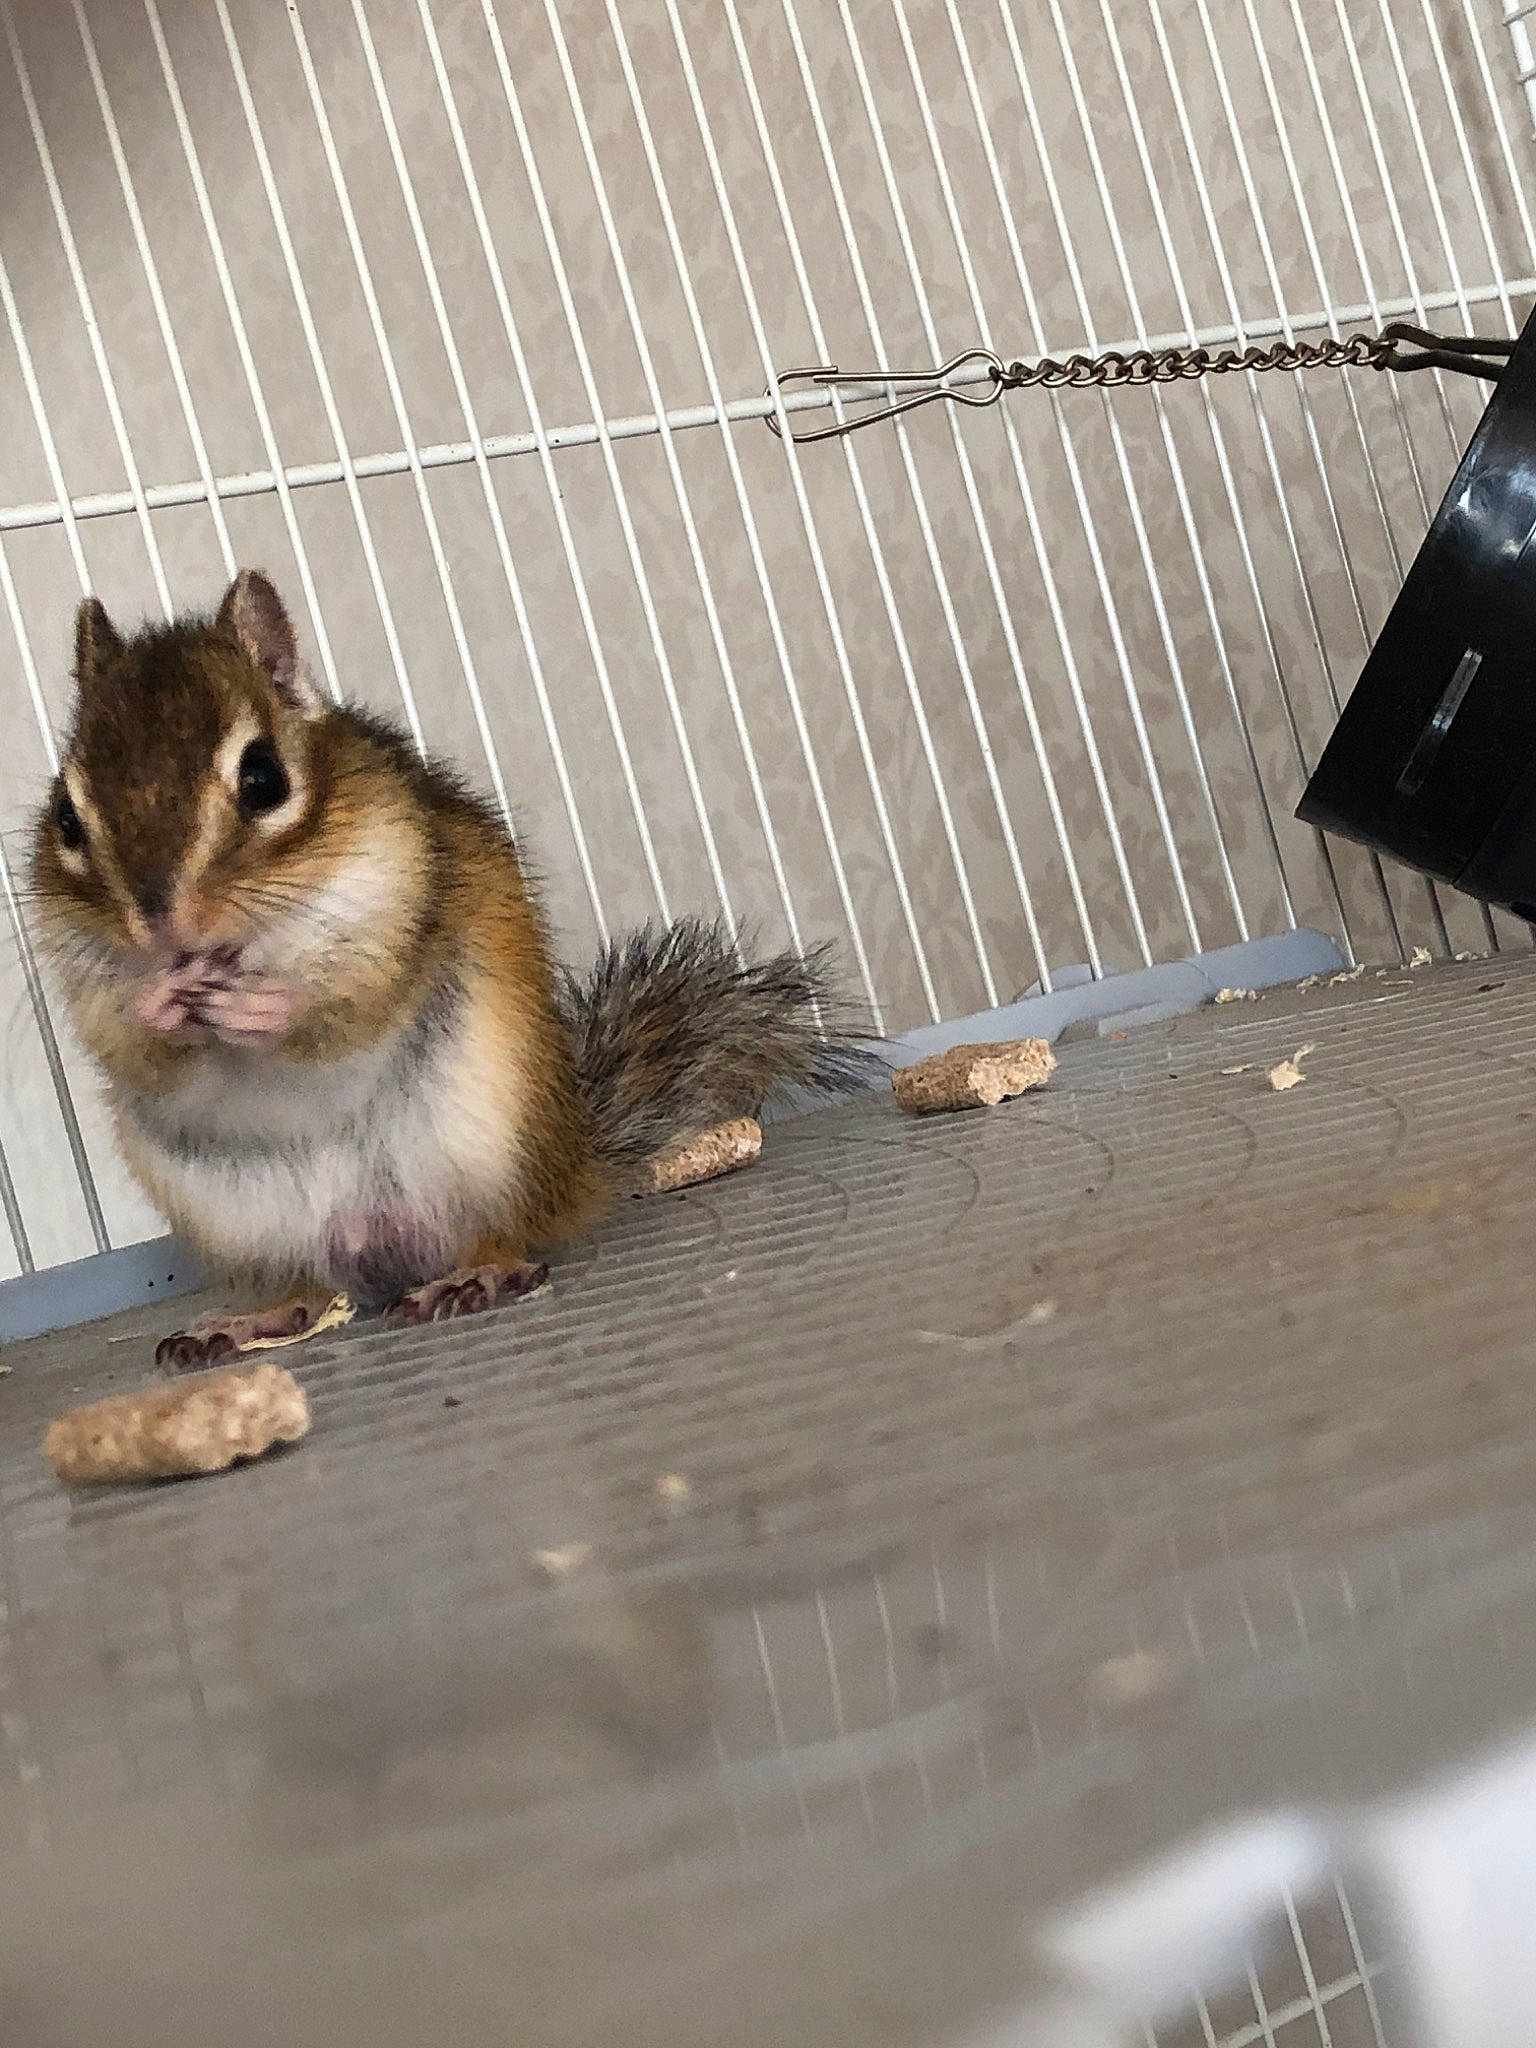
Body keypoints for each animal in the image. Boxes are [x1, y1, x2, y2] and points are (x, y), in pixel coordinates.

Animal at [29, 570, 878, 1368]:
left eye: (264, 778)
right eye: (68, 817)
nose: (161, 922)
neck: (247, 946)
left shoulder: (398, 901)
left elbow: (349, 1010)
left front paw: (262, 1008)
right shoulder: (84, 975)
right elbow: (135, 1049)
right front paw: (160, 1002)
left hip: (489, 1149)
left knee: (496, 1232)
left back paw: (477, 1274)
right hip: (241, 1218)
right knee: (309, 1289)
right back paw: (245, 1321)